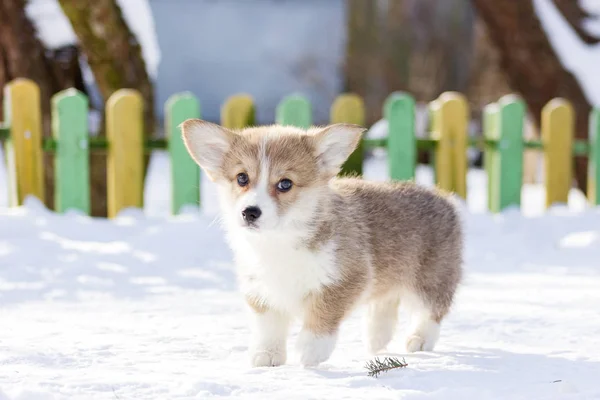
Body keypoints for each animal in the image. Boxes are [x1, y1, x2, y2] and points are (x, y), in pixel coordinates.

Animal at [180, 119, 462, 368]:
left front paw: (310, 350)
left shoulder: (347, 277)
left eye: (285, 183)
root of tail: (443, 197)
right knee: (385, 301)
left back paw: (419, 340)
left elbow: (323, 312)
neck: (279, 242)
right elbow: (269, 326)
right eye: (241, 178)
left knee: (432, 311)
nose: (249, 212)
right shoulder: (261, 289)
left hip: (430, 279)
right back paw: (376, 338)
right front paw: (267, 354)